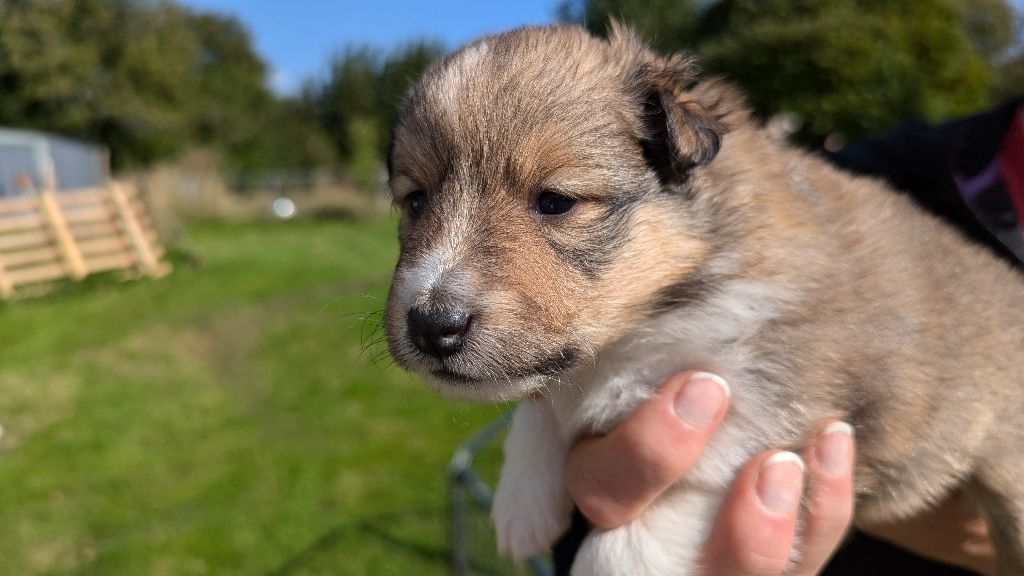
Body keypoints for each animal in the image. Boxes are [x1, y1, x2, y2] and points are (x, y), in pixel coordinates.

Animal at [380, 22, 1024, 573]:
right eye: (416, 200)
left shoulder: (777, 392)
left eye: (556, 201)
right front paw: (522, 499)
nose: (431, 325)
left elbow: (663, 511)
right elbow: (541, 403)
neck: (651, 316)